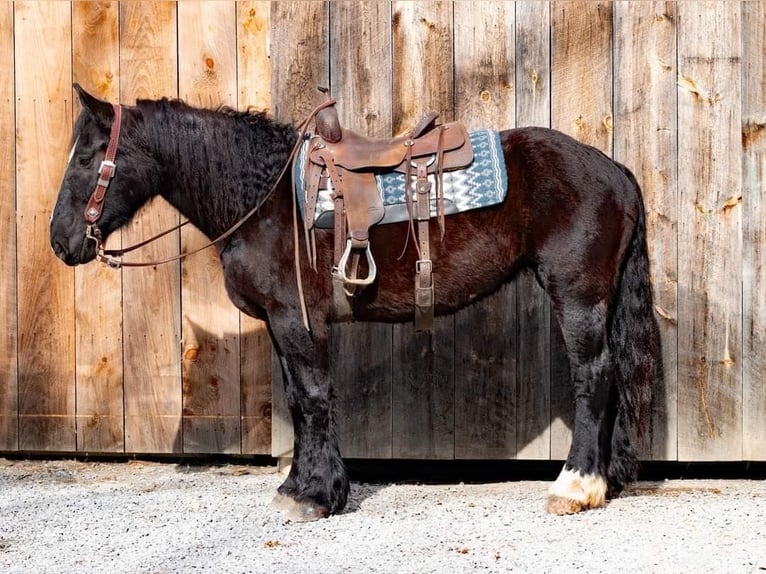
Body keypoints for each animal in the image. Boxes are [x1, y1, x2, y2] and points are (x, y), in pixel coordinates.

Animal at [51, 84, 660, 520]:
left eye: (87, 158)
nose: (60, 242)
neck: (268, 201)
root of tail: (615, 171)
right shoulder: (283, 325)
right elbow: (299, 402)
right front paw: (300, 486)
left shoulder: (298, 322)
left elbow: (315, 398)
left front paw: (316, 495)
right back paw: (604, 480)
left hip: (577, 296)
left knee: (593, 375)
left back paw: (576, 485)